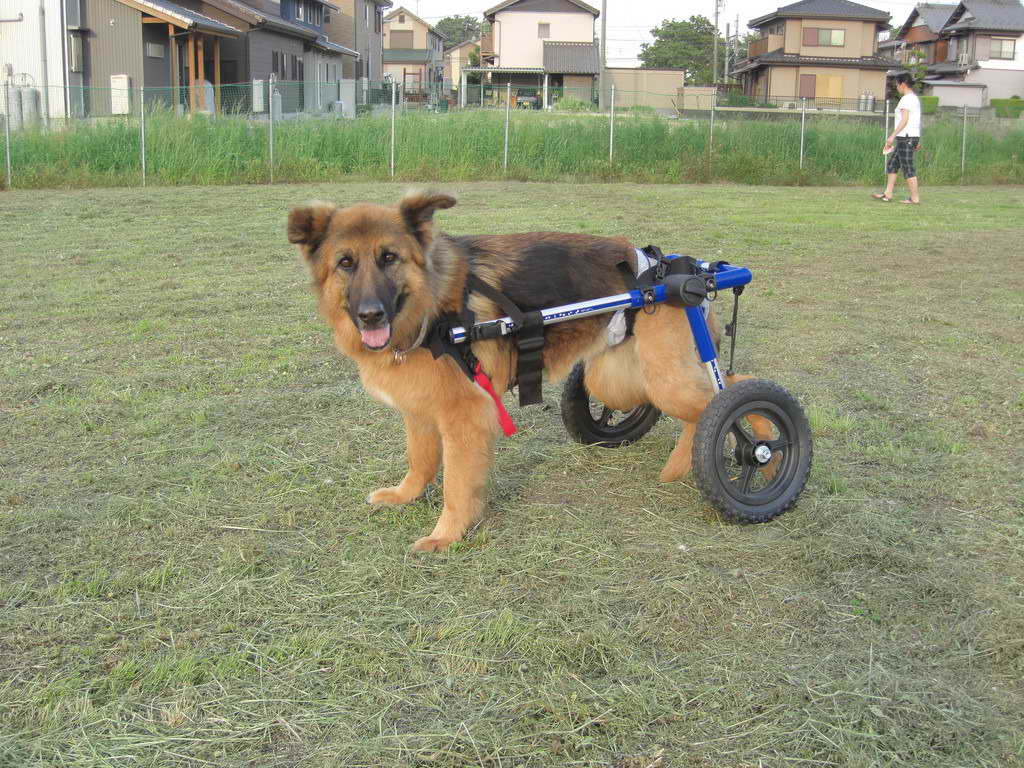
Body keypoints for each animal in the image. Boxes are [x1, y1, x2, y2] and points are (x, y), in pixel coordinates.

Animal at [288, 192, 753, 552]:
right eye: (345, 263)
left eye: (389, 258)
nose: (370, 316)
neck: (430, 308)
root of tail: (685, 270)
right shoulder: (420, 412)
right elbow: (419, 462)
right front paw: (405, 496)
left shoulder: (464, 418)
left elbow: (456, 486)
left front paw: (446, 535)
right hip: (621, 379)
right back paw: (679, 465)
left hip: (667, 380)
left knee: (732, 389)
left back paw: (753, 454)